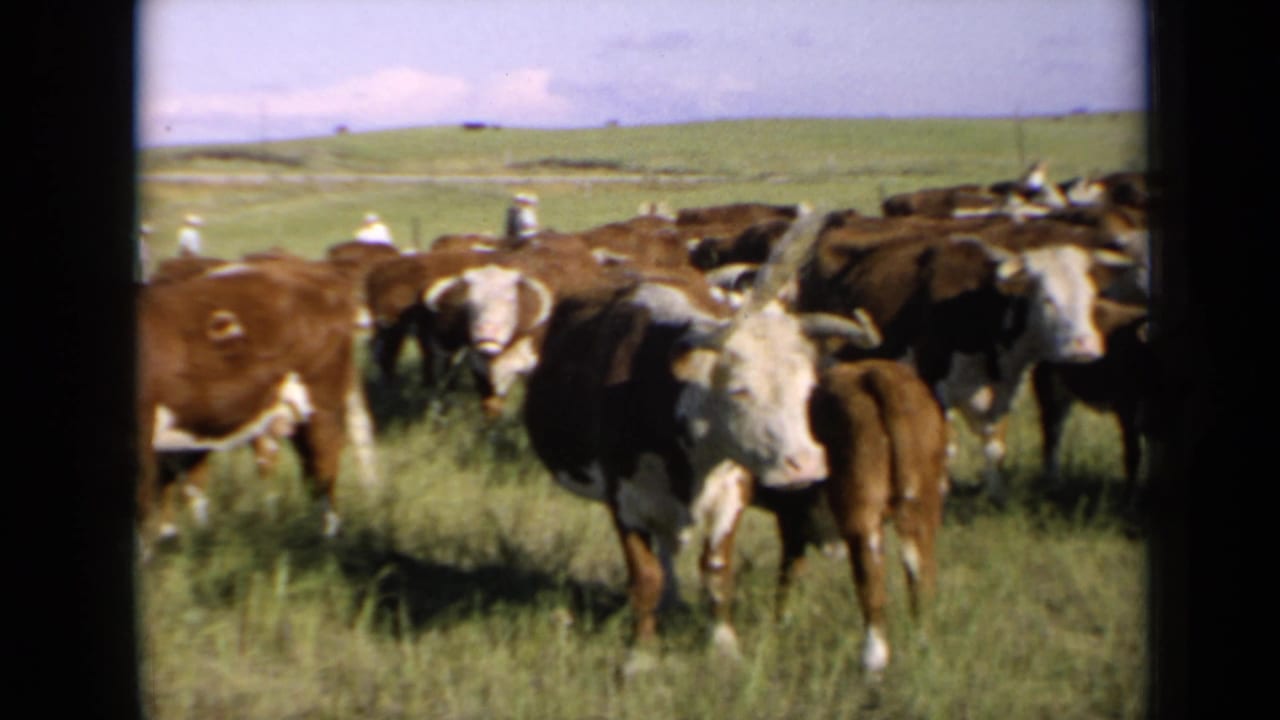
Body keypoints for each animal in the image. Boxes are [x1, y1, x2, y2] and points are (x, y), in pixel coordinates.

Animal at [521, 213, 883, 676]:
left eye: (809, 388)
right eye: (740, 390)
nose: (806, 465)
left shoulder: (731, 491)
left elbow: (716, 571)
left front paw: (724, 644)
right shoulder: (625, 501)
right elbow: (646, 577)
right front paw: (641, 653)